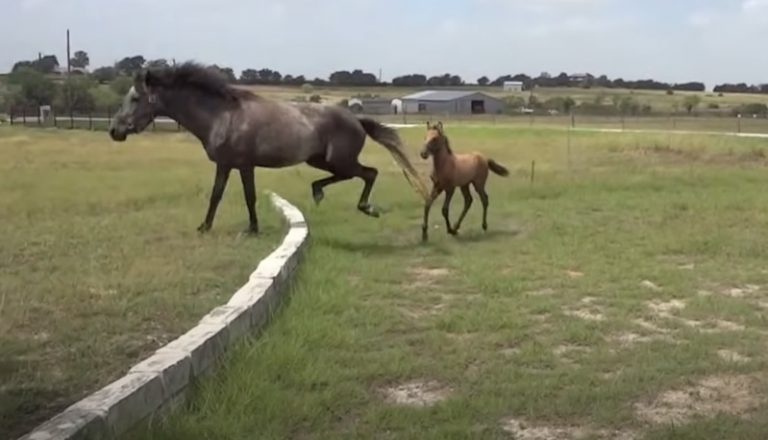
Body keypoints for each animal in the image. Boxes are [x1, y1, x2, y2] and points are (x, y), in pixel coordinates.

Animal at [108, 62, 427, 234]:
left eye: (135, 98)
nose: (114, 131)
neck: (222, 115)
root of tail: (356, 119)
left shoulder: (244, 165)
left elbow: (248, 197)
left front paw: (252, 228)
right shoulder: (225, 165)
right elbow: (216, 195)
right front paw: (205, 227)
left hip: (340, 160)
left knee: (369, 173)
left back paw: (366, 208)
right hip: (319, 161)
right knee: (349, 176)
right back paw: (318, 192)